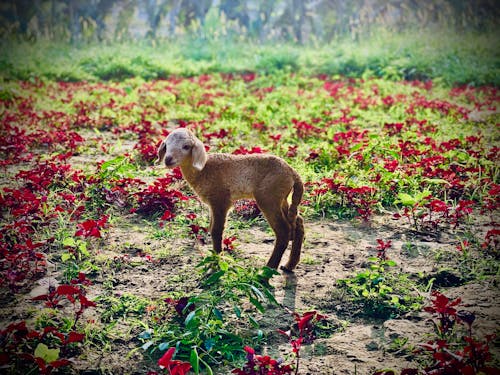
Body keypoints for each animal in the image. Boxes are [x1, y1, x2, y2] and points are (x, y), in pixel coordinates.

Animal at [157, 128, 304, 272]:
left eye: (186, 146)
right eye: (167, 145)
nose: (168, 160)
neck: (203, 170)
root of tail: (293, 172)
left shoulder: (220, 200)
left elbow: (216, 231)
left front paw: (216, 265)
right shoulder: (213, 204)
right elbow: (211, 227)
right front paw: (214, 260)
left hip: (268, 197)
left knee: (283, 231)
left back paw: (268, 270)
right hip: (282, 197)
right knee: (297, 221)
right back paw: (289, 265)